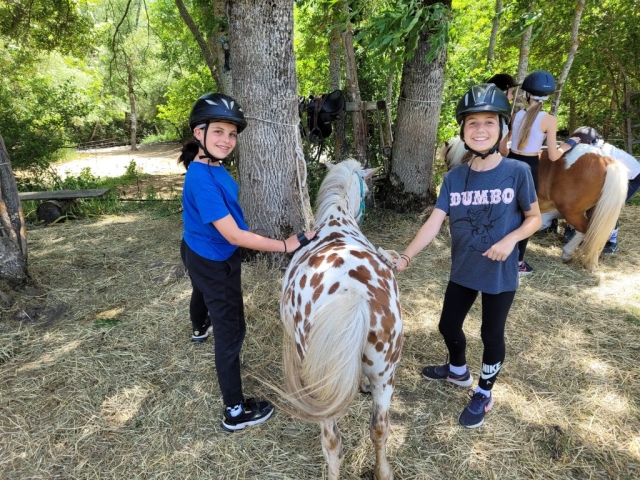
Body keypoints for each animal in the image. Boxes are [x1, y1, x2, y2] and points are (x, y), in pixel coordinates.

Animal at [438, 137, 628, 268]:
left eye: (447, 160)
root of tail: (605, 160)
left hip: (572, 212)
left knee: (584, 230)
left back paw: (568, 253)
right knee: (597, 232)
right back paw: (591, 261)